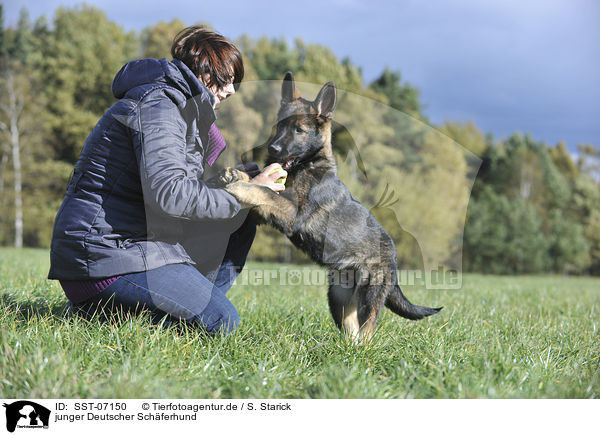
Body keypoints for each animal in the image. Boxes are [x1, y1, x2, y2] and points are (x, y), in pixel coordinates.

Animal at [217, 72, 440, 344]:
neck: (307, 166)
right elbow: (262, 186)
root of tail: (394, 255)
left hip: (370, 295)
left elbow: (264, 192)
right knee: (351, 329)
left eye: (299, 130)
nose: (272, 149)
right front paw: (236, 174)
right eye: (279, 127)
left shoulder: (292, 215)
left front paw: (240, 186)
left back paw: (362, 350)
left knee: (367, 330)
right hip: (338, 297)